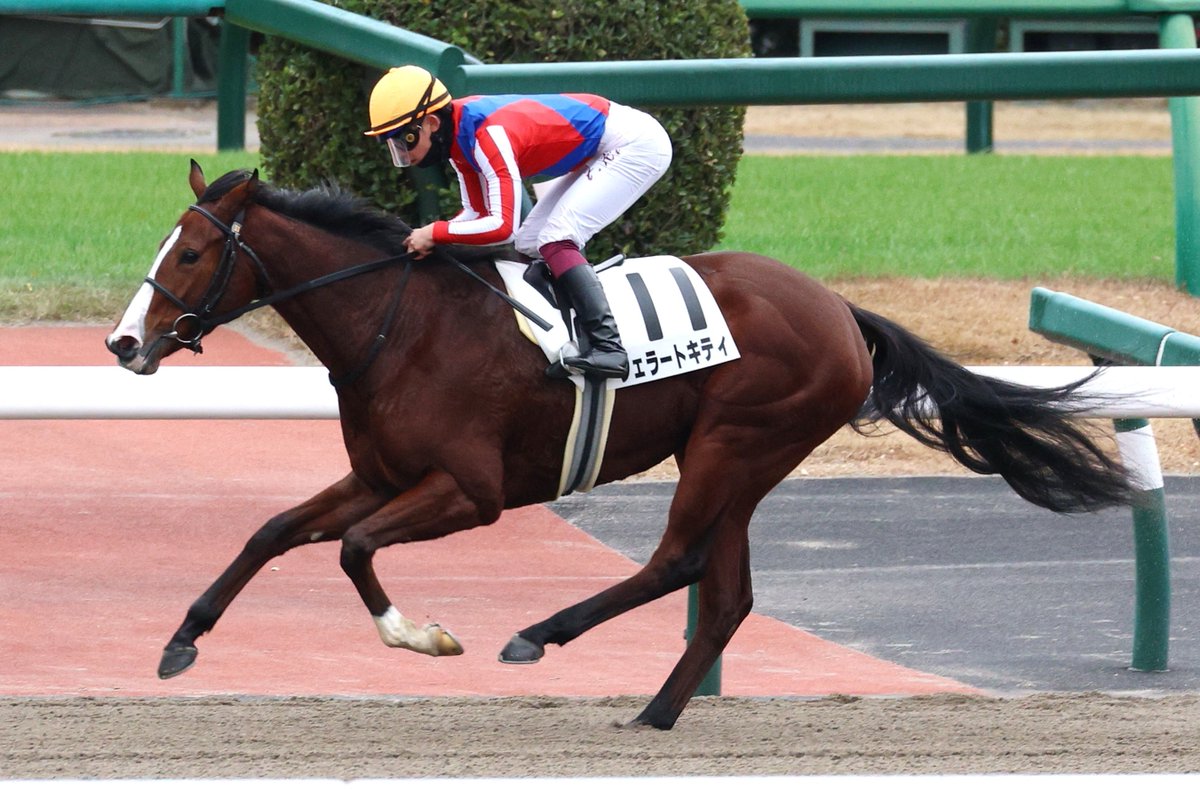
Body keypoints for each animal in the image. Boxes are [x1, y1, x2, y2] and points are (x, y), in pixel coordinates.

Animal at [105, 162, 1133, 730]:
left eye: (190, 253)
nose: (122, 343)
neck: (398, 325)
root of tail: (841, 310)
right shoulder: (379, 473)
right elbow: (274, 531)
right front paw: (180, 643)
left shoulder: (469, 491)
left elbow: (354, 549)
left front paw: (423, 636)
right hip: (739, 460)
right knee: (726, 593)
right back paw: (654, 714)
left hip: (734, 442)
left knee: (677, 561)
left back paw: (539, 635)